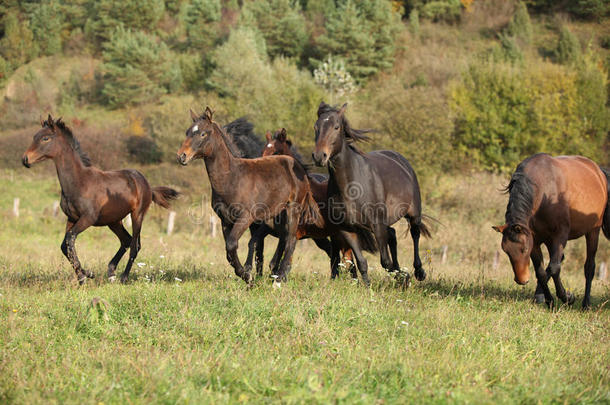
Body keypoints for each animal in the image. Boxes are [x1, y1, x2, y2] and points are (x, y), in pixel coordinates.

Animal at [22, 115, 178, 282]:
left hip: (137, 215)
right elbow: (65, 246)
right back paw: (111, 272)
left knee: (135, 245)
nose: (25, 159)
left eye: (45, 138)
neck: (79, 182)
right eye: (34, 136)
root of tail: (147, 184)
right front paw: (84, 275)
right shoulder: (71, 218)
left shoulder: (88, 218)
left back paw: (123, 277)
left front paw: (85, 275)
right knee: (126, 240)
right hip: (114, 221)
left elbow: (70, 240)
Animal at [176, 107, 320, 284]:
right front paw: (247, 276)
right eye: (187, 132)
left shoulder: (246, 217)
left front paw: (248, 276)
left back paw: (279, 278)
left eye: (203, 134)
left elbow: (232, 244)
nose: (182, 156)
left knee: (291, 241)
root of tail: (300, 169)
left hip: (293, 210)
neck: (232, 178)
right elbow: (229, 252)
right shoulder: (225, 220)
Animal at [312, 101, 430, 286]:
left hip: (413, 212)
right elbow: (361, 262)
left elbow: (385, 262)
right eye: (316, 127)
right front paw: (368, 287)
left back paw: (419, 272)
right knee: (393, 235)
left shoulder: (377, 225)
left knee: (415, 234)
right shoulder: (347, 229)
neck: (351, 186)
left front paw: (403, 278)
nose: (319, 156)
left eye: (336, 127)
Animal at [490, 153, 608, 308]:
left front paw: (567, 297)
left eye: (524, 249)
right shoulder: (535, 240)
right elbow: (541, 272)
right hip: (548, 239)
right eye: (506, 251)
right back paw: (539, 296)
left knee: (589, 267)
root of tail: (598, 171)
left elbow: (554, 268)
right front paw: (549, 300)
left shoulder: (560, 236)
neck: (545, 191)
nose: (522, 280)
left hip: (593, 231)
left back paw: (586, 304)